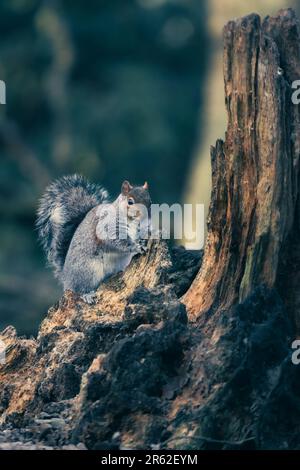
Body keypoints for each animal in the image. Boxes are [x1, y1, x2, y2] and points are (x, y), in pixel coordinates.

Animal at [36, 174, 151, 302]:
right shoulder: (107, 227)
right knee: (79, 288)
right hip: (88, 270)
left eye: (150, 201)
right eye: (130, 202)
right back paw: (87, 295)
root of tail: (66, 278)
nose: (146, 216)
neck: (132, 222)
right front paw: (137, 247)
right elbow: (116, 241)